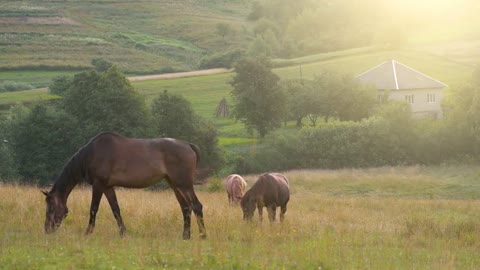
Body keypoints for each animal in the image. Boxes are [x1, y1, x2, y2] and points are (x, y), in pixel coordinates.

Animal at [41, 132, 206, 239]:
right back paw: (186, 236)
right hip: (174, 184)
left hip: (184, 184)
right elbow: (116, 209)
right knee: (185, 207)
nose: (47, 229)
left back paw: (203, 235)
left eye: (51, 207)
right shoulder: (108, 187)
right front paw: (123, 233)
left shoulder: (98, 184)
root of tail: (188, 145)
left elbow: (93, 208)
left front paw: (87, 233)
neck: (91, 154)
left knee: (196, 205)